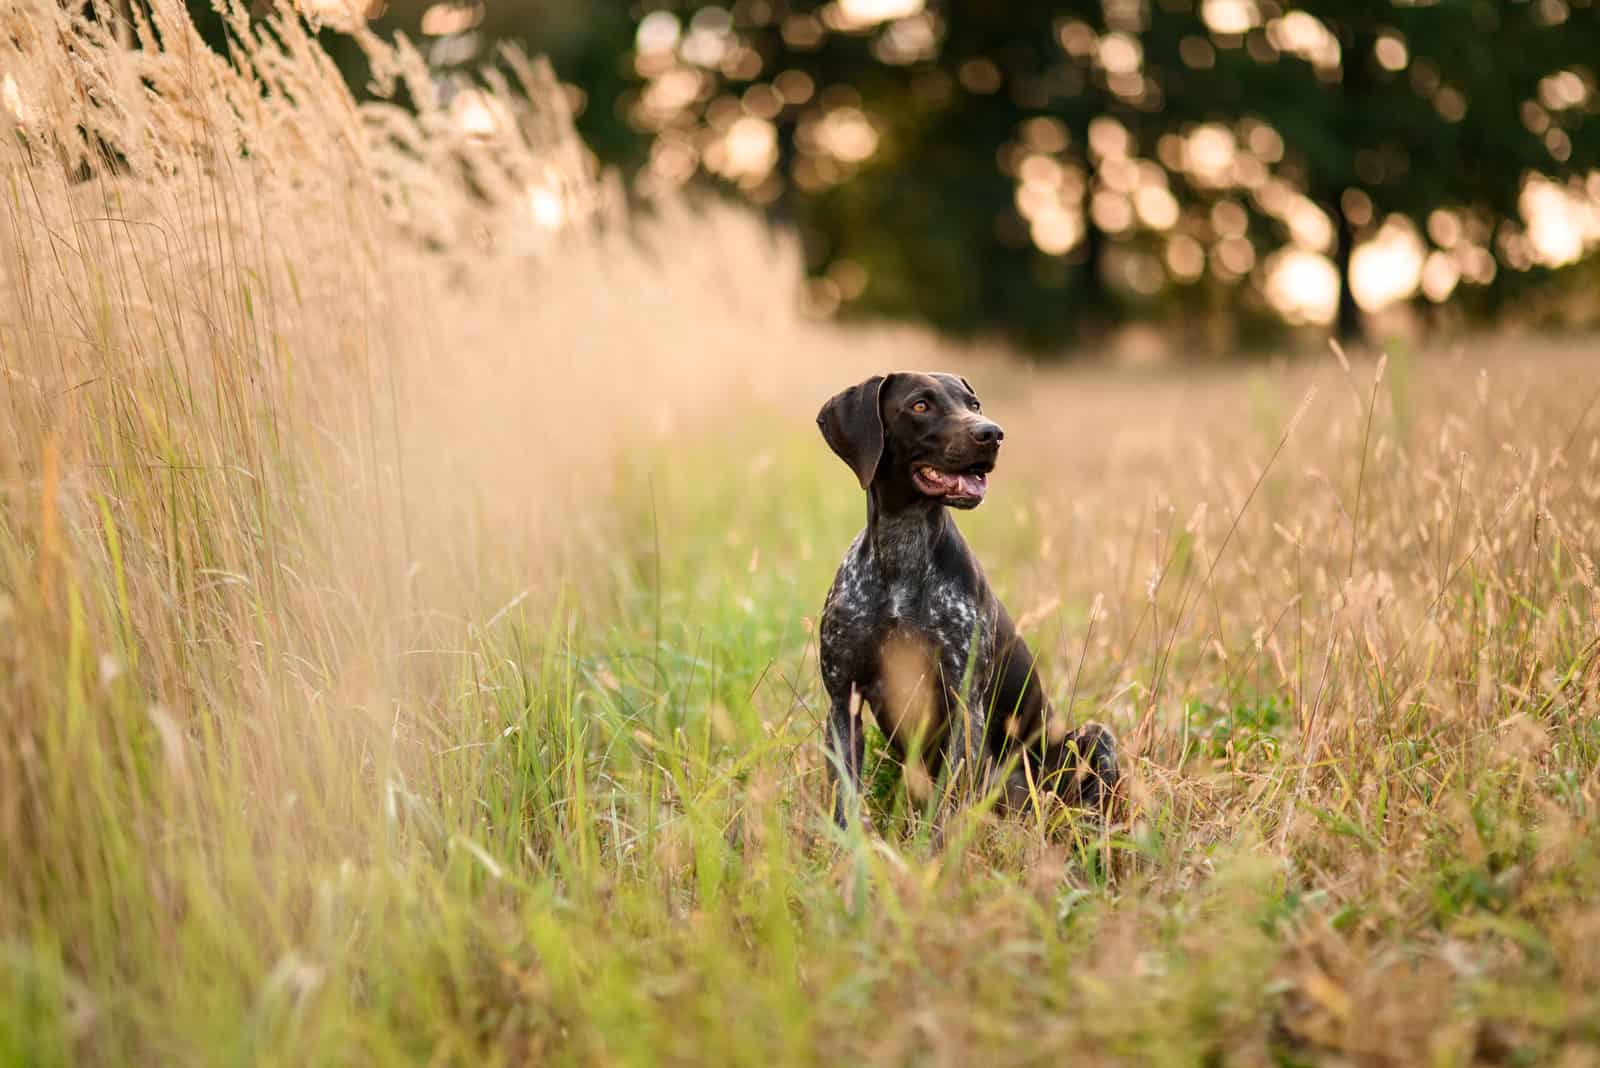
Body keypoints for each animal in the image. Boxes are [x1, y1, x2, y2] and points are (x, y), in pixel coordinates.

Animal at [819, 374, 1120, 824]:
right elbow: (847, 802)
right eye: (920, 405)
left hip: (1092, 739)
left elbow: (948, 807)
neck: (902, 555)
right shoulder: (843, 701)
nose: (992, 434)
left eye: (973, 404)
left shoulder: (964, 703)